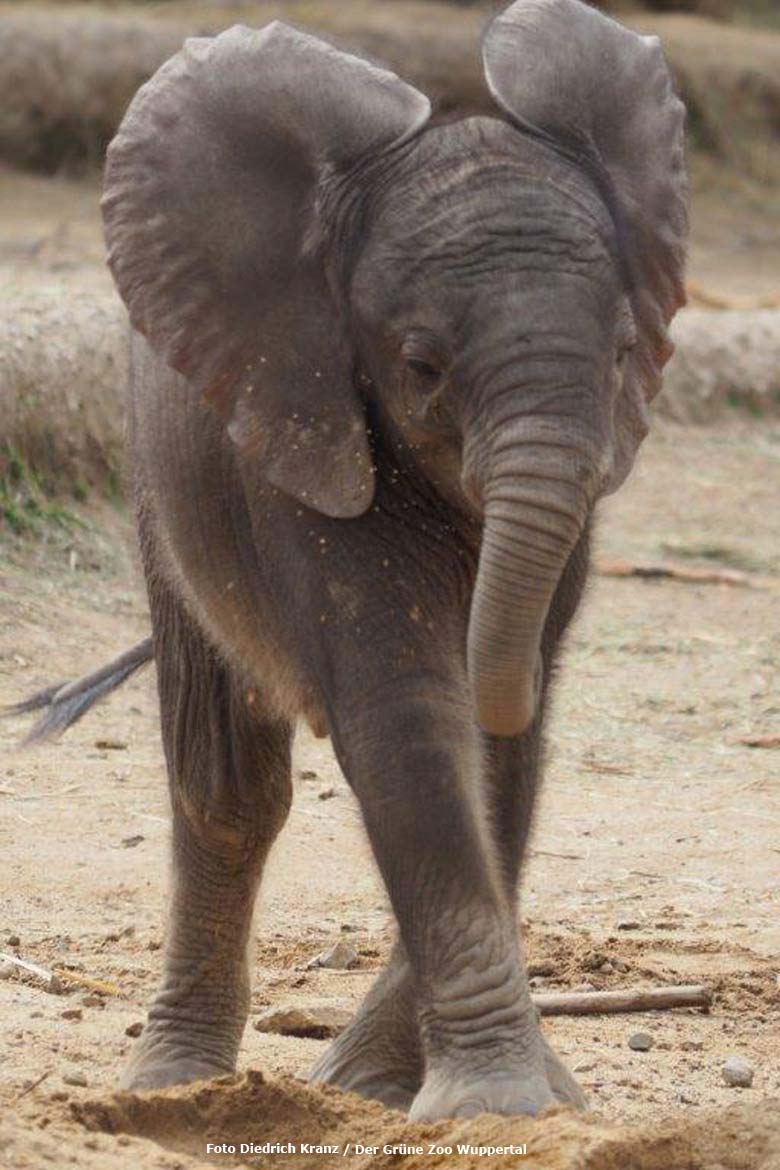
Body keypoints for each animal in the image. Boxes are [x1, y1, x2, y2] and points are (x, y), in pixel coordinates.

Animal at [97, 0, 687, 1118]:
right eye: (420, 367)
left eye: (625, 355)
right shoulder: (302, 432)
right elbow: (408, 713)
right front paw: (498, 1107)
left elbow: (494, 753)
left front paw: (471, 1095)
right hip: (162, 495)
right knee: (228, 792)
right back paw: (173, 1089)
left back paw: (345, 1083)